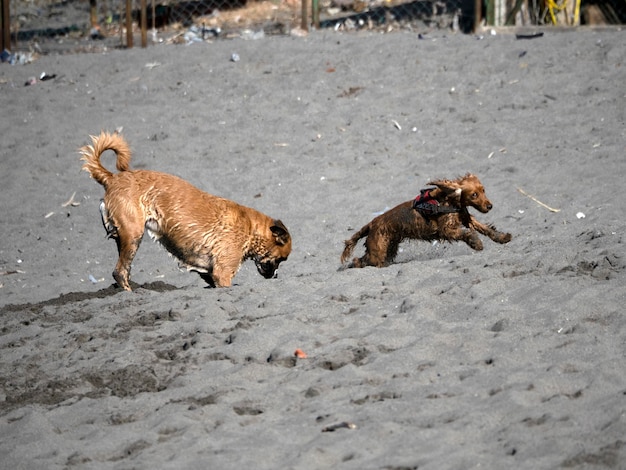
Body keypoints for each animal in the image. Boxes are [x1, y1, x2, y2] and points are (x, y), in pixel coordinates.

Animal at [79, 131, 292, 290]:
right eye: (280, 259)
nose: (275, 276)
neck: (250, 229)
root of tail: (112, 178)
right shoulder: (223, 273)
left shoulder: (208, 272)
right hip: (133, 235)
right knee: (119, 272)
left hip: (123, 237)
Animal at [338, 173, 510, 268]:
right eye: (474, 195)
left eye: (483, 190)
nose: (489, 206)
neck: (448, 200)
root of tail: (372, 223)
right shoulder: (446, 230)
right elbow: (466, 233)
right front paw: (476, 242)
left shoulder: (466, 218)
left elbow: (486, 228)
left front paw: (502, 237)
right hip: (378, 251)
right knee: (361, 261)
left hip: (389, 247)